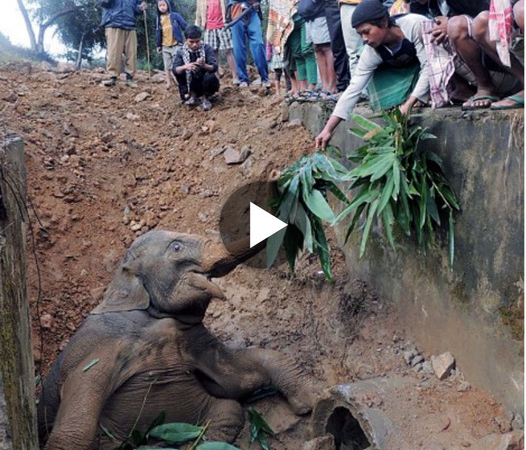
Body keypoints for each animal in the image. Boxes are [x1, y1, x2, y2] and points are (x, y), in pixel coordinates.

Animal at [38, 230, 318, 448]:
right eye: (176, 247)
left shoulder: (196, 339)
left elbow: (235, 378)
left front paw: (314, 401)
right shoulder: (104, 343)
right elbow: (83, 392)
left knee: (228, 410)